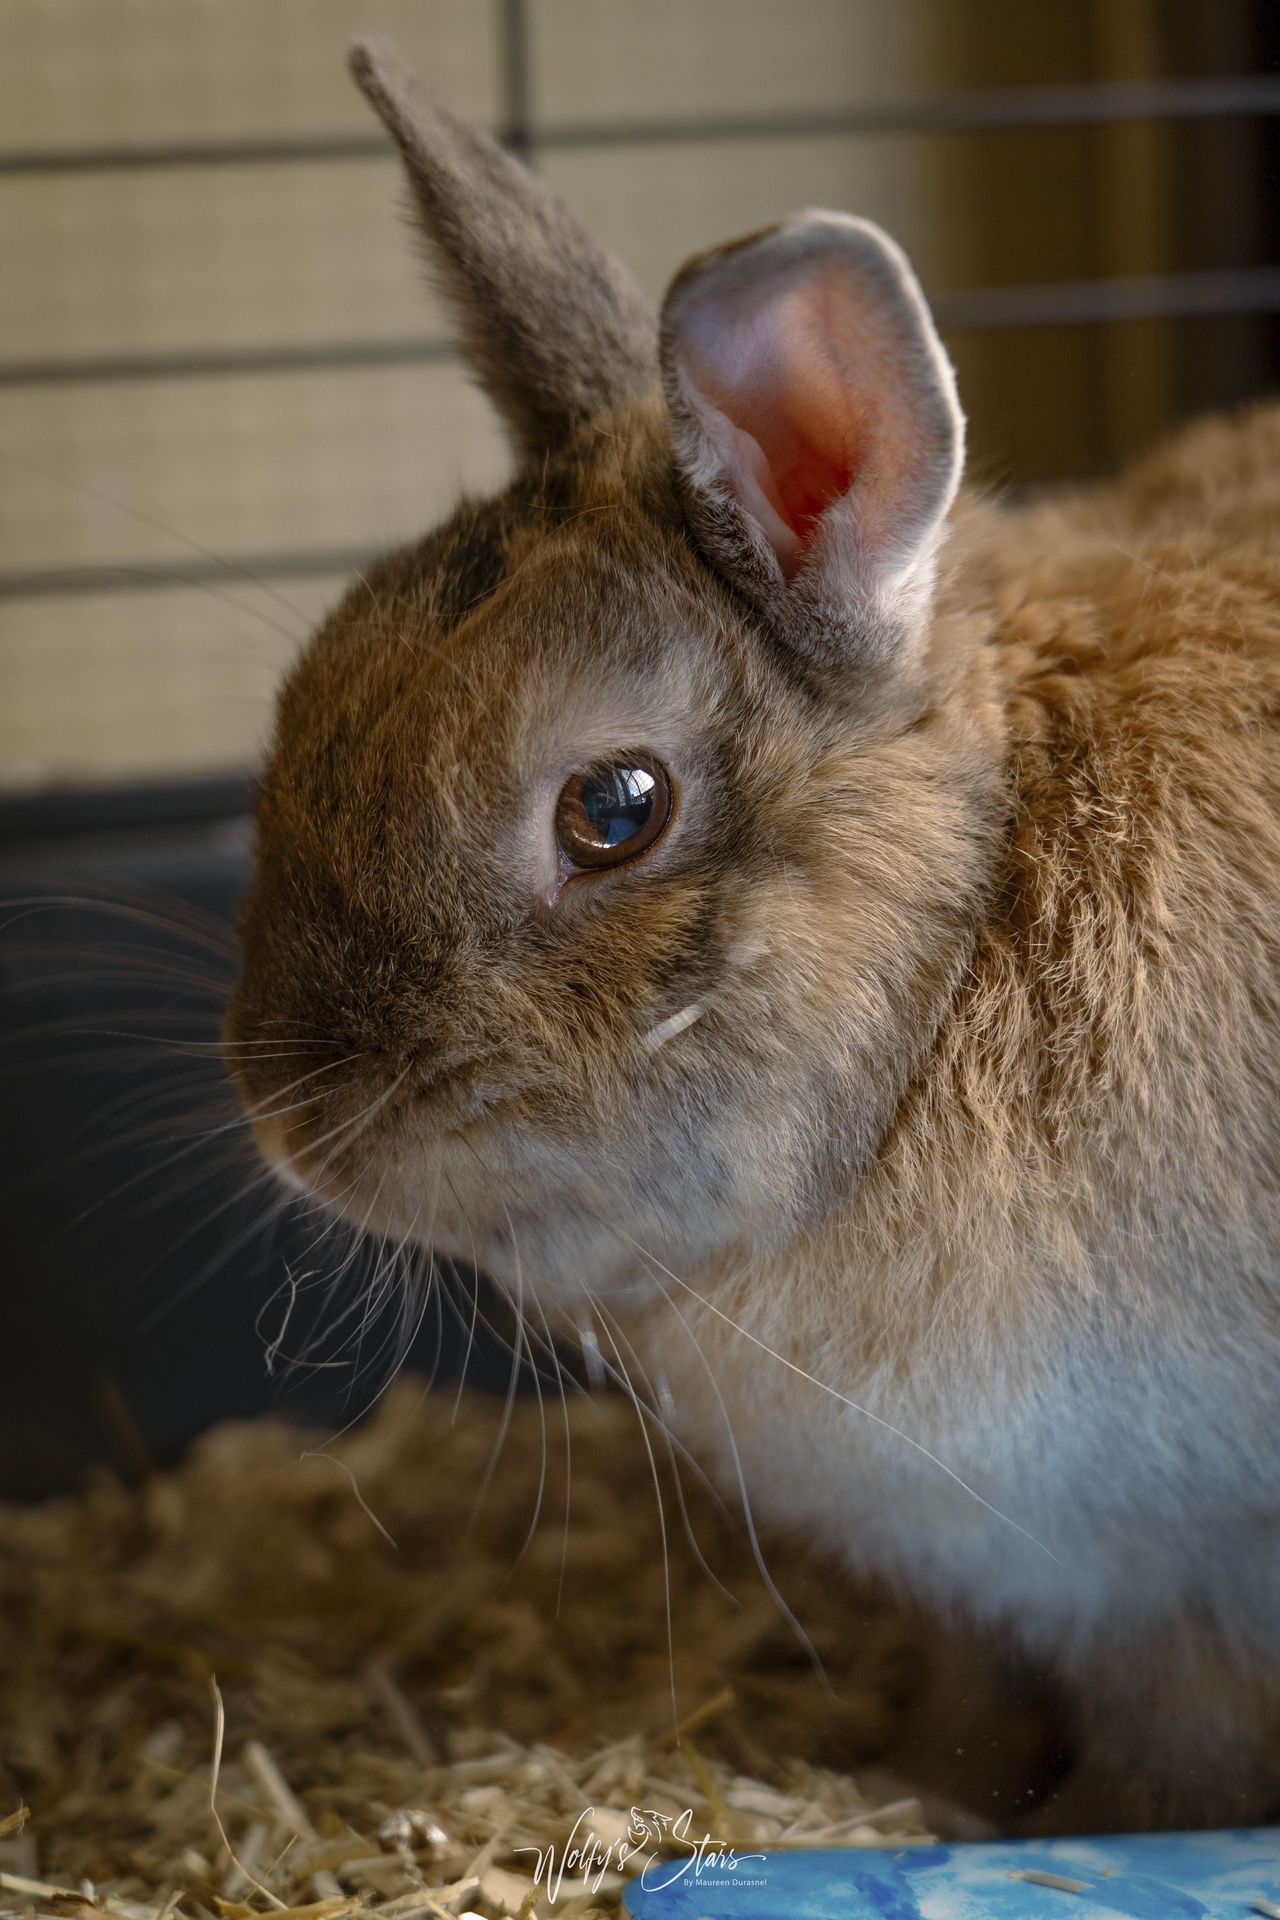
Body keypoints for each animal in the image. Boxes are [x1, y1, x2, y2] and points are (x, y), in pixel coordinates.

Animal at [225, 35, 1280, 1835]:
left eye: (615, 808)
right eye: (306, 699)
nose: (289, 1120)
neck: (965, 938)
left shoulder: (1188, 1591)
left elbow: (1176, 1768)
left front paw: (1076, 1840)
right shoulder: (998, 1590)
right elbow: (974, 1706)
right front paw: (921, 1792)